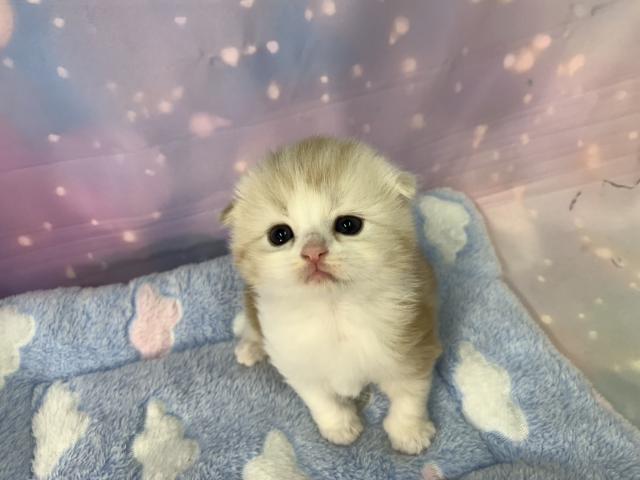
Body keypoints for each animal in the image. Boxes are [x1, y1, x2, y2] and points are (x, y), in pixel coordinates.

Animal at [221, 136, 441, 454]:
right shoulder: (298, 363)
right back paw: (250, 348)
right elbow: (321, 400)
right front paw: (341, 428)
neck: (333, 310)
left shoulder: (413, 342)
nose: (313, 252)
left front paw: (409, 433)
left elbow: (410, 395)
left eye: (348, 225)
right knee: (251, 324)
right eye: (279, 234)